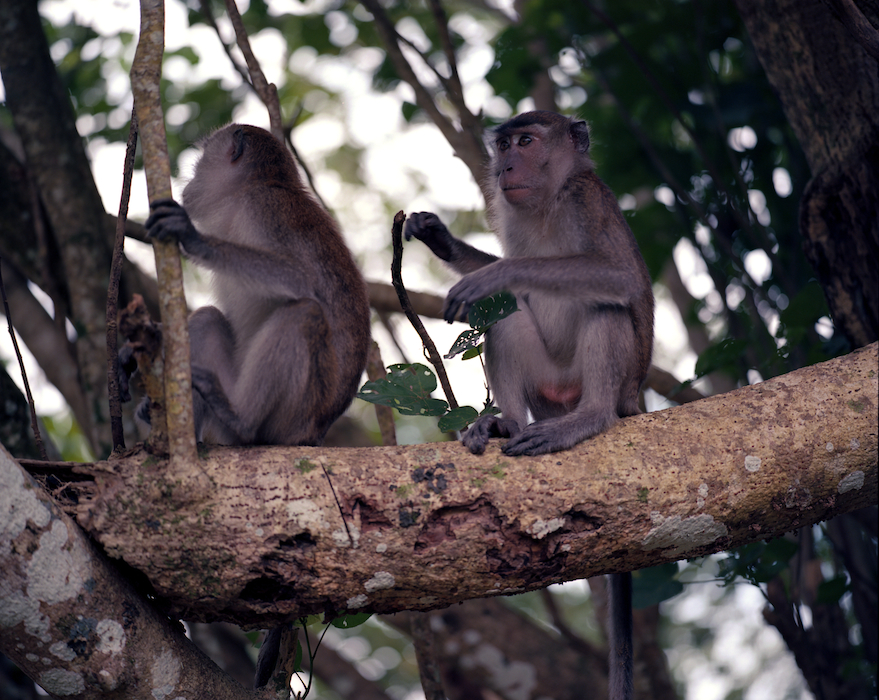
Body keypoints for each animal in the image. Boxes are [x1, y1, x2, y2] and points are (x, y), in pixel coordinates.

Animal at [135, 123, 372, 446]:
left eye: (201, 159)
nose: (188, 182)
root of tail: (315, 434)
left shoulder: (264, 207)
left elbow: (301, 278)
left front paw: (195, 239)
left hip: (295, 416)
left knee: (303, 314)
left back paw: (240, 421)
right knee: (208, 318)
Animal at [406, 109, 652, 700]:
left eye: (526, 141)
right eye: (504, 146)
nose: (506, 168)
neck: (548, 198)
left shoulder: (586, 200)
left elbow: (618, 277)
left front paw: (493, 272)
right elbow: (503, 293)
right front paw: (441, 240)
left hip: (611, 384)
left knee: (604, 304)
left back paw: (589, 420)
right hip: (548, 387)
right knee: (507, 312)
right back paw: (507, 424)